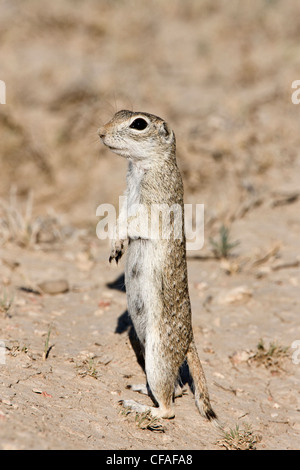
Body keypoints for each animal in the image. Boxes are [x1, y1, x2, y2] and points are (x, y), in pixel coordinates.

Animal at [98, 110, 218, 422]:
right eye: (117, 113)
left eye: (138, 124)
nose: (100, 132)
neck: (141, 168)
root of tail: (189, 341)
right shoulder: (126, 196)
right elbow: (120, 215)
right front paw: (116, 246)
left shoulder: (156, 202)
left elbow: (133, 221)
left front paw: (117, 239)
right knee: (178, 388)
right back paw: (142, 389)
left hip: (158, 354)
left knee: (170, 408)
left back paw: (140, 407)